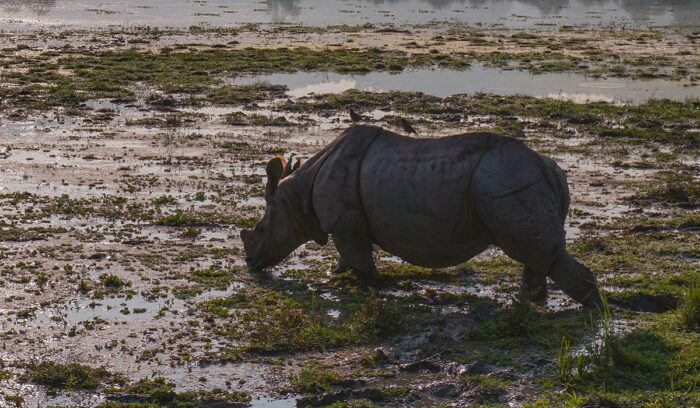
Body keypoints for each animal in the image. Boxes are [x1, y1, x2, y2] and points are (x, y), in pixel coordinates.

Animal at [241, 125, 601, 307]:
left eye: (262, 227)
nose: (250, 262)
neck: (297, 194)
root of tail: (548, 167)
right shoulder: (349, 227)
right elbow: (350, 256)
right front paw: (338, 274)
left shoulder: (345, 225)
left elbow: (360, 261)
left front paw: (370, 287)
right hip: (518, 179)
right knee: (536, 254)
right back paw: (529, 301)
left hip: (507, 179)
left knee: (536, 251)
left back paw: (594, 316)